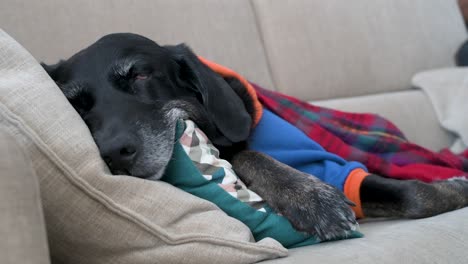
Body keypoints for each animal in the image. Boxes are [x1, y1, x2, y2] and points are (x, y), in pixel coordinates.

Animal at [41, 33, 468, 241]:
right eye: (77, 105)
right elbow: (245, 156)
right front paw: (307, 197)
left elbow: (414, 194)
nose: (114, 152)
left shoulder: (333, 163)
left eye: (141, 75)